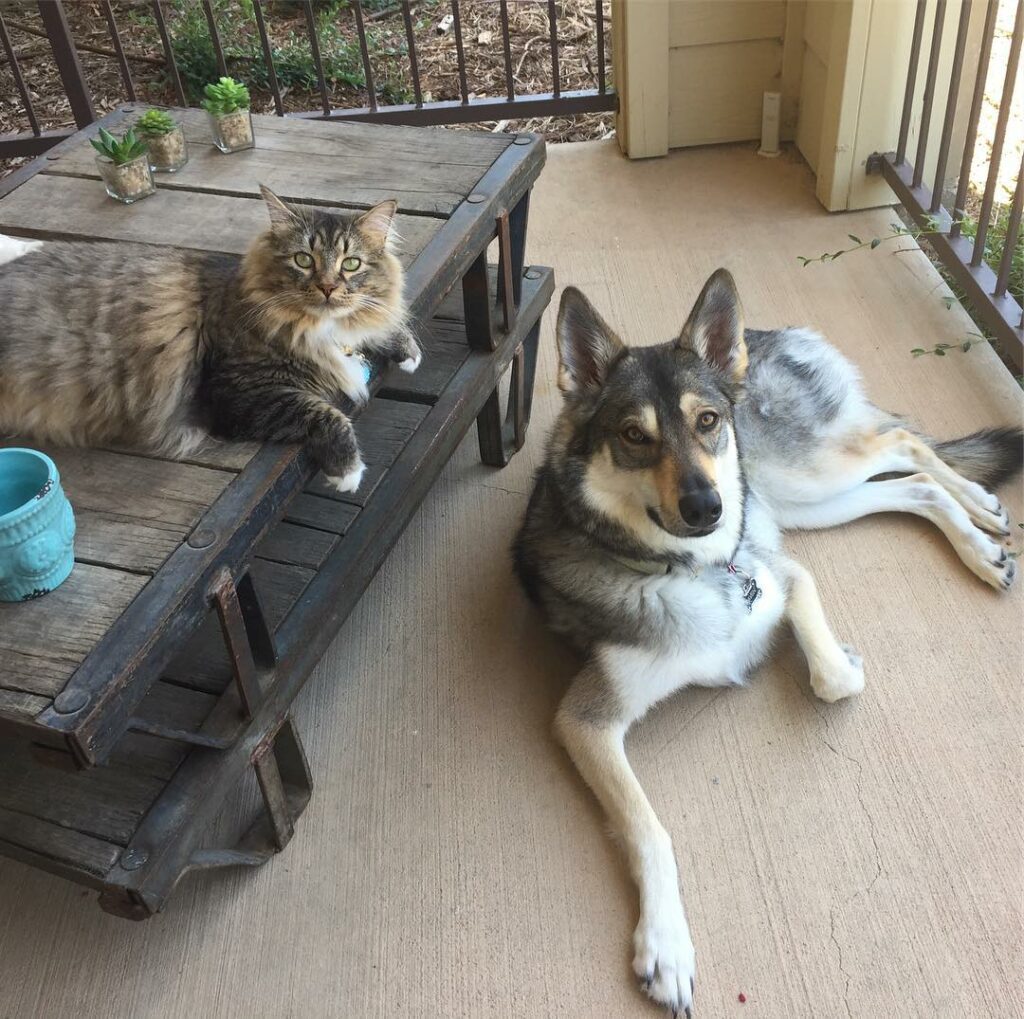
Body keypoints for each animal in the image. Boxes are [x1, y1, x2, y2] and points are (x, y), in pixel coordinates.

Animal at [0, 189, 419, 495]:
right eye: (303, 260)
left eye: (351, 264)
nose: (329, 287)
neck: (311, 327)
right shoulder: (237, 394)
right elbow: (325, 414)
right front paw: (348, 471)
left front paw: (407, 350)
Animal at [516, 266, 1019, 1015]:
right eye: (634, 435)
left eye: (706, 421)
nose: (706, 507)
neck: (692, 568)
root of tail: (766, 333)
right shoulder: (586, 718)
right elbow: (650, 827)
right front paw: (667, 945)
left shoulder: (775, 566)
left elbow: (829, 670)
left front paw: (841, 661)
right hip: (805, 499)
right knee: (912, 485)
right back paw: (978, 534)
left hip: (791, 478)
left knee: (903, 444)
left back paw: (981, 511)